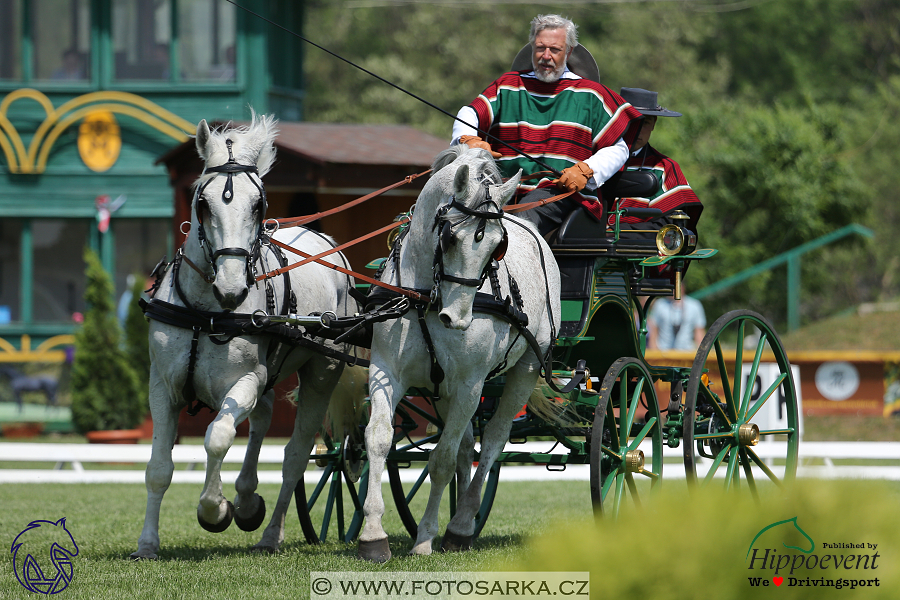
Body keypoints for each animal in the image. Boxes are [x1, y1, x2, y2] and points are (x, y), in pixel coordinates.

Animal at [132, 115, 356, 560]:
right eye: (202, 202)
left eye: (258, 205)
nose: (232, 288)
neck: (206, 311)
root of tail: (327, 243)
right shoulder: (162, 386)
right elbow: (159, 468)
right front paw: (148, 542)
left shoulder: (246, 380)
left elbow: (217, 438)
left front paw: (215, 510)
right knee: (264, 417)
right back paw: (249, 499)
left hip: (322, 371)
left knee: (294, 457)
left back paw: (269, 532)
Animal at [360, 146, 564, 564]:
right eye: (450, 237)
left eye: (497, 246)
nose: (457, 319)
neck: (425, 296)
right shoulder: (386, 371)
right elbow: (379, 438)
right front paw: (373, 535)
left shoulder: (471, 385)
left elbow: (441, 459)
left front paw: (425, 538)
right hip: (442, 390)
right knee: (467, 445)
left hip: (524, 369)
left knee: (492, 442)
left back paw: (461, 525)